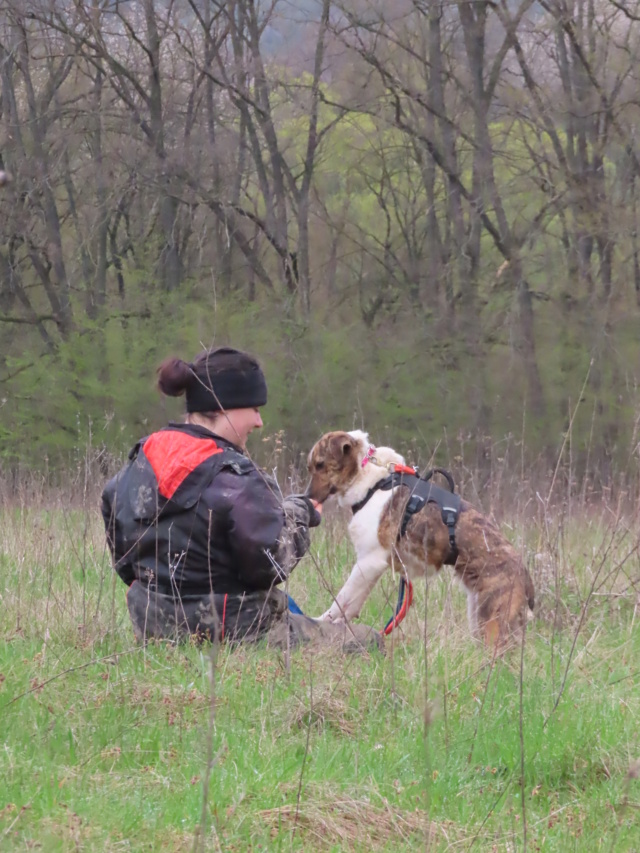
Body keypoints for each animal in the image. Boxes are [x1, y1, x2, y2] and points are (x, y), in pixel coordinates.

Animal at [306, 430, 536, 644]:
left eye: (320, 464)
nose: (307, 497)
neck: (369, 477)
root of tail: (525, 575)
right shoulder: (369, 568)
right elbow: (351, 604)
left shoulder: (369, 561)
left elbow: (341, 599)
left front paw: (321, 621)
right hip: (480, 615)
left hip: (493, 621)